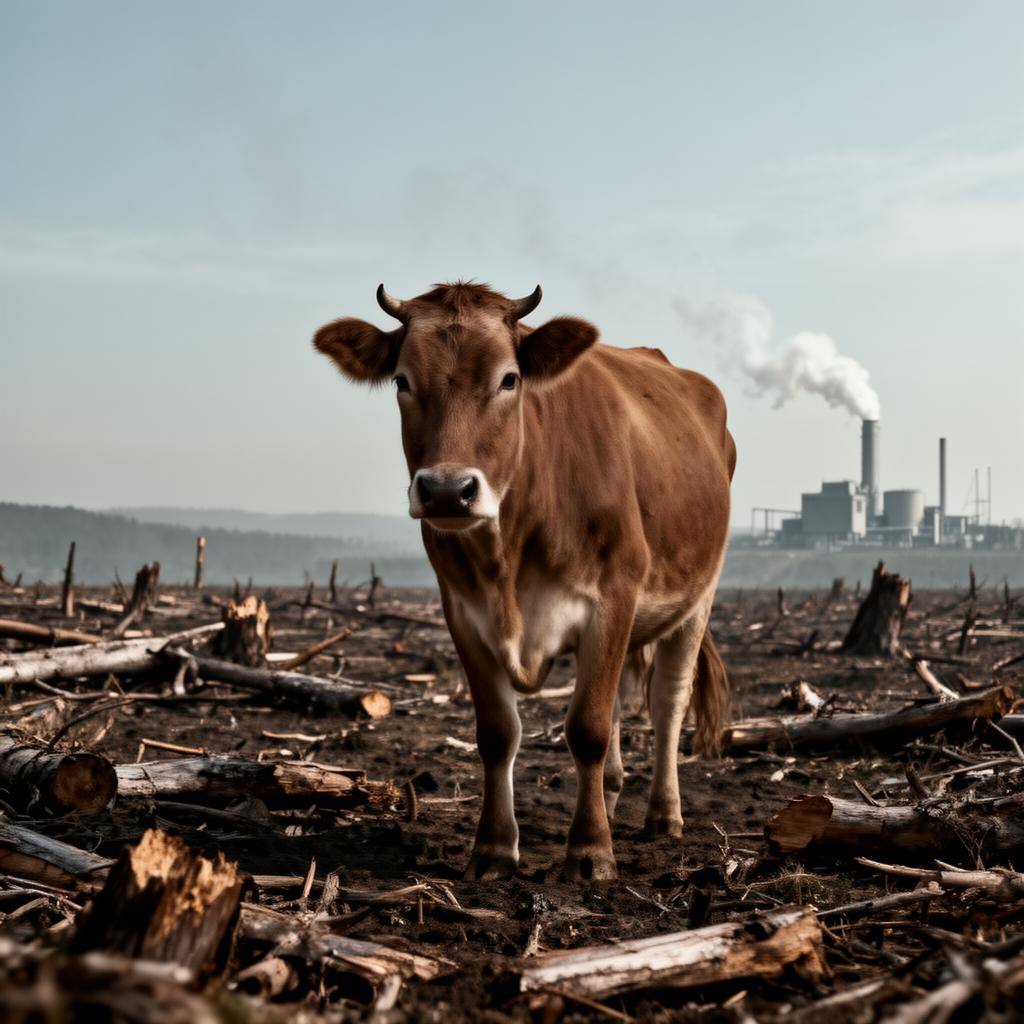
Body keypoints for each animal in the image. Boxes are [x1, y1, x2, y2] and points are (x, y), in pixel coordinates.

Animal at [313, 281, 735, 882]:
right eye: (402, 380)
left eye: (509, 379)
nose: (448, 491)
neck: (508, 556)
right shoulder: (463, 611)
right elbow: (497, 734)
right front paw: (493, 847)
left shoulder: (613, 598)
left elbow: (588, 729)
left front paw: (590, 850)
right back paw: (610, 795)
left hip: (699, 596)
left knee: (667, 704)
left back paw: (663, 814)